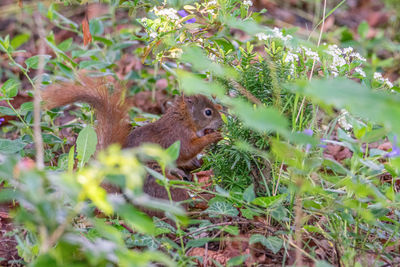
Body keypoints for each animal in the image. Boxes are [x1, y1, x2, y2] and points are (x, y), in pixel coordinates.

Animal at [42, 74, 223, 209]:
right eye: (208, 112)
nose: (221, 123)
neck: (184, 119)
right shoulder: (178, 137)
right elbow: (188, 150)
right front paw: (214, 136)